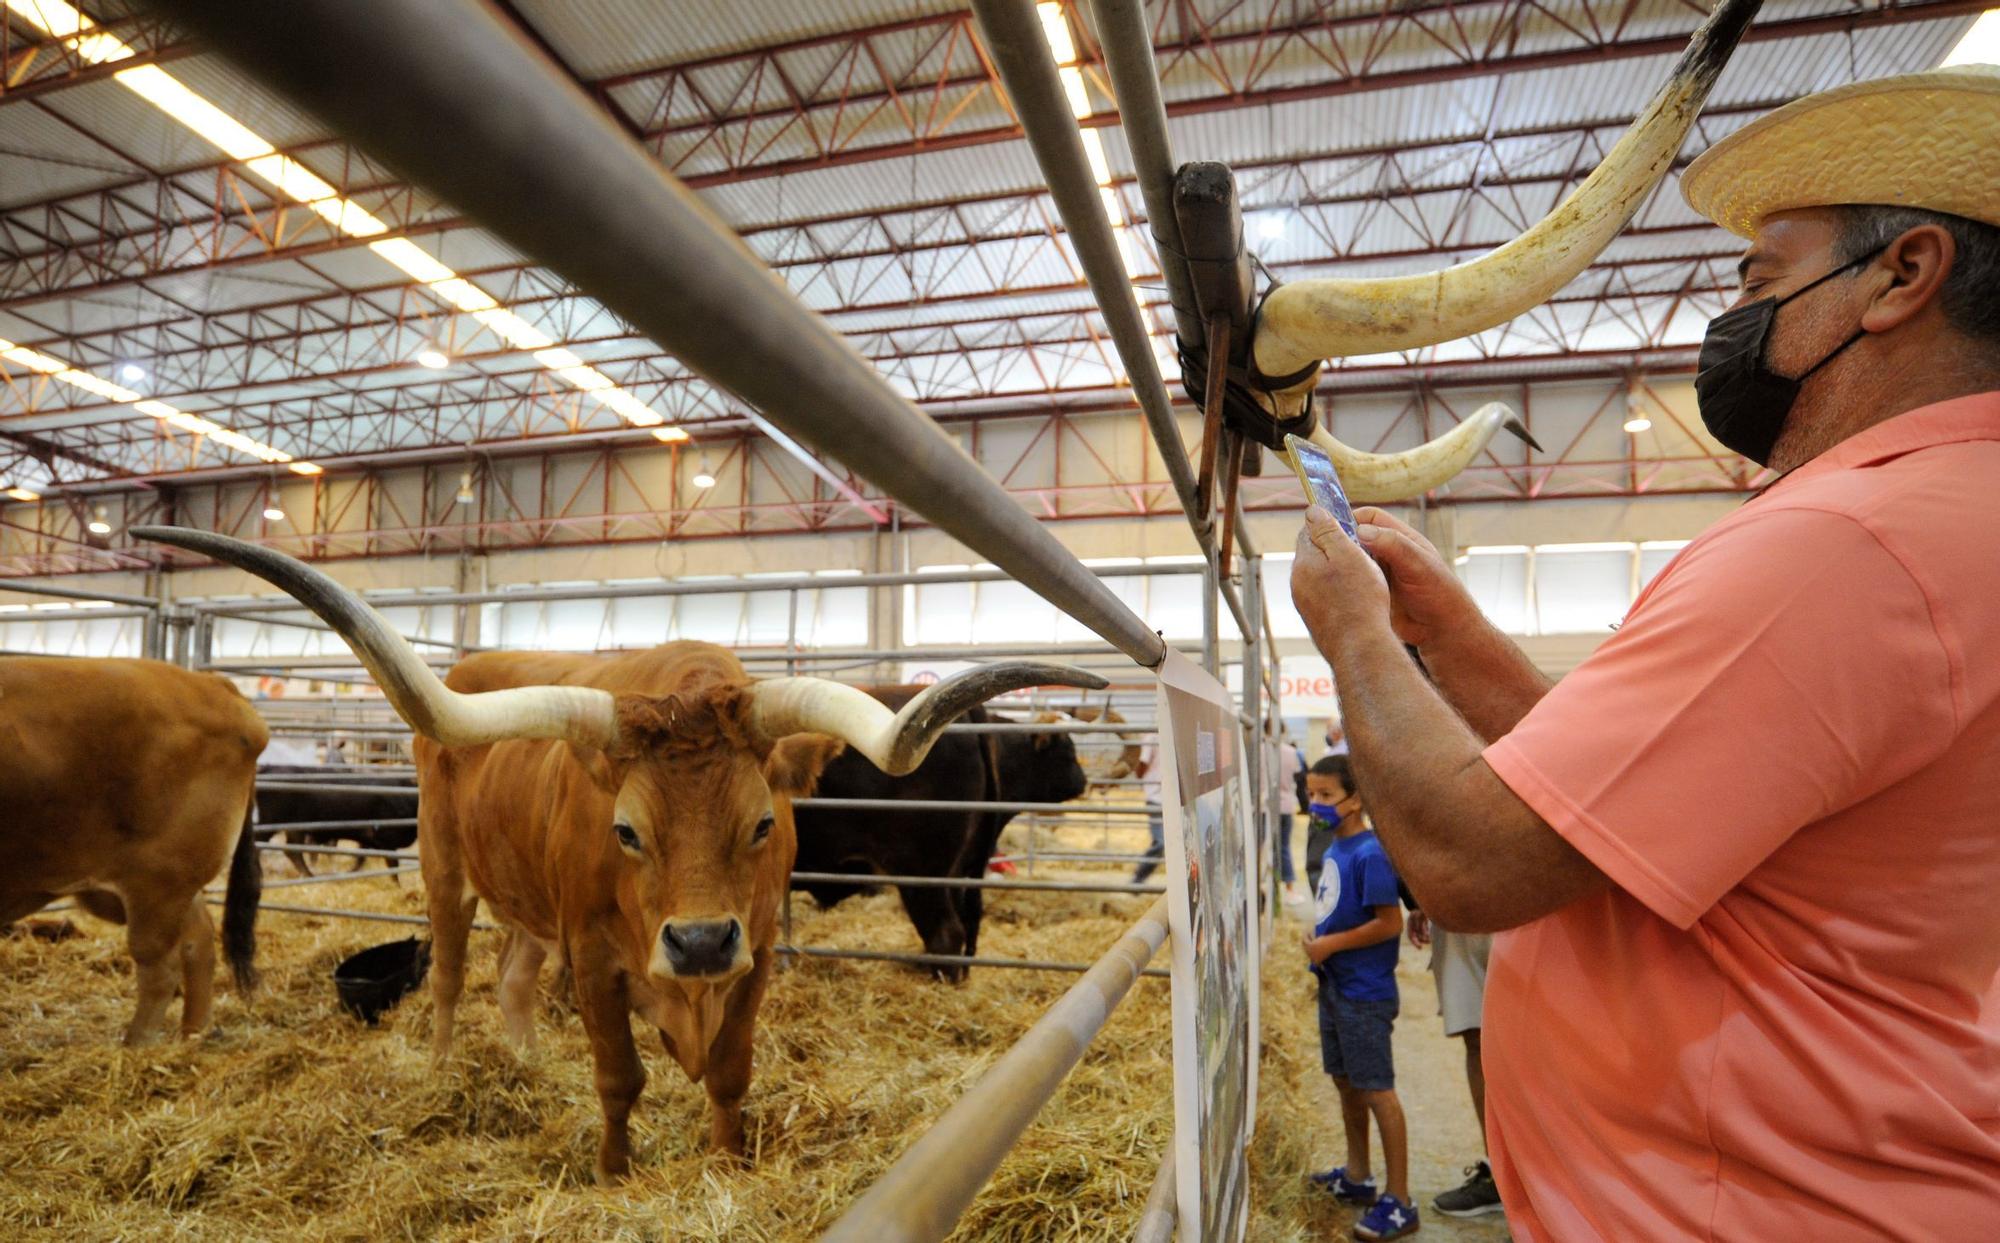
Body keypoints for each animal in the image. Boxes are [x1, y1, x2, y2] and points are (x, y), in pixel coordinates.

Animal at [0, 659, 266, 1047]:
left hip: (159, 881)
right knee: (198, 940)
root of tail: (209, 682)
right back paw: (193, 1033)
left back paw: (137, 1044)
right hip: (166, 885)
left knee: (159, 966)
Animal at [256, 763, 420, 883]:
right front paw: (396, 885)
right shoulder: (386, 839)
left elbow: (361, 859)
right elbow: (393, 865)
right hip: (270, 821)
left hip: (294, 827)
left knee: (292, 850)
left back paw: (309, 875)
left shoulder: (367, 838)